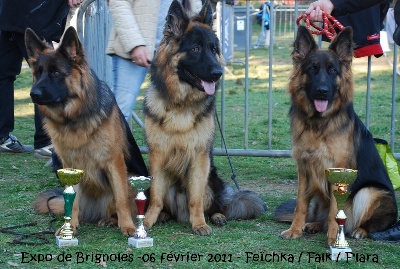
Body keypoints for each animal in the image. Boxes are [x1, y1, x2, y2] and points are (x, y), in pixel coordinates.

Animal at [24, 26, 148, 234]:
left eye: (56, 72)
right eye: (38, 73)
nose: (34, 94)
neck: (73, 118)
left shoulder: (114, 162)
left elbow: (121, 199)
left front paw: (128, 227)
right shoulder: (70, 166)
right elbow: (72, 202)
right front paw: (70, 227)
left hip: (130, 178)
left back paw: (111, 220)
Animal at [143, 0, 266, 234]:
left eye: (213, 49)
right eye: (196, 49)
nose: (219, 73)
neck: (181, 105)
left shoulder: (199, 158)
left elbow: (196, 199)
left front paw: (199, 223)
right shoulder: (158, 157)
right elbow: (155, 197)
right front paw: (145, 222)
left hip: (212, 181)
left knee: (215, 204)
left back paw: (216, 216)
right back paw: (163, 215)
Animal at [280, 25, 398, 245]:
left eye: (332, 70)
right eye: (312, 69)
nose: (322, 91)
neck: (319, 124)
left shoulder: (337, 171)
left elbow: (336, 209)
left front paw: (334, 239)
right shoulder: (305, 170)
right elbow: (301, 204)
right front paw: (295, 230)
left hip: (369, 192)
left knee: (369, 222)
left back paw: (359, 230)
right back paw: (315, 225)